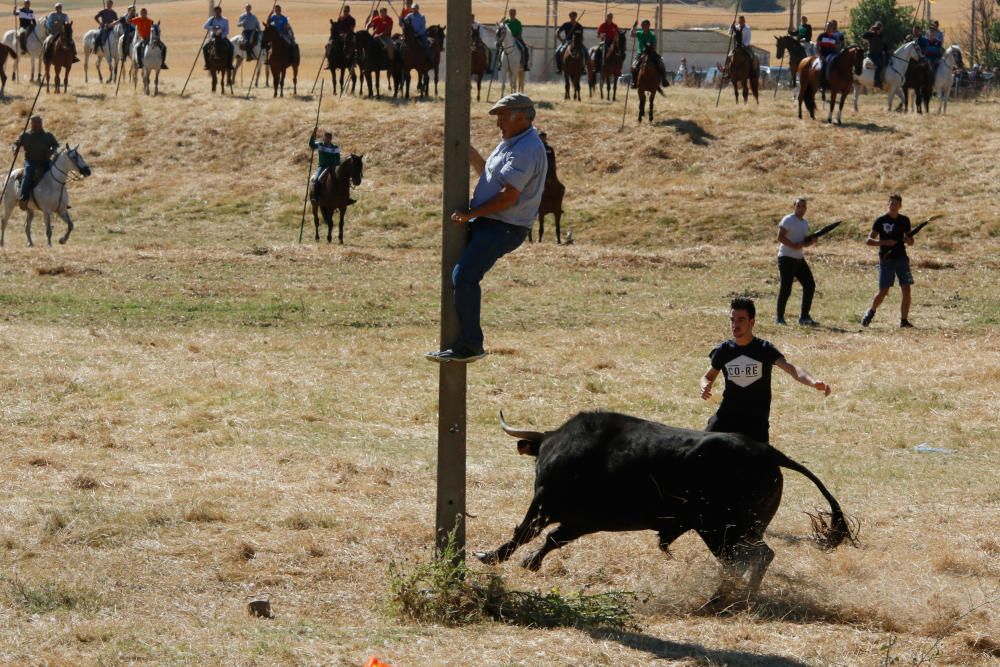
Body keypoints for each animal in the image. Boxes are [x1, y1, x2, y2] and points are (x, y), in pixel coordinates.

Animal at [478, 410, 860, 604]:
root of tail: (769, 454)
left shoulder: (552, 508)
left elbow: (527, 532)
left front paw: (495, 556)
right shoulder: (582, 521)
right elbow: (551, 538)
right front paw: (526, 562)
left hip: (720, 530)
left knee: (745, 560)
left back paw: (720, 600)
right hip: (739, 530)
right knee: (759, 556)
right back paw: (738, 598)